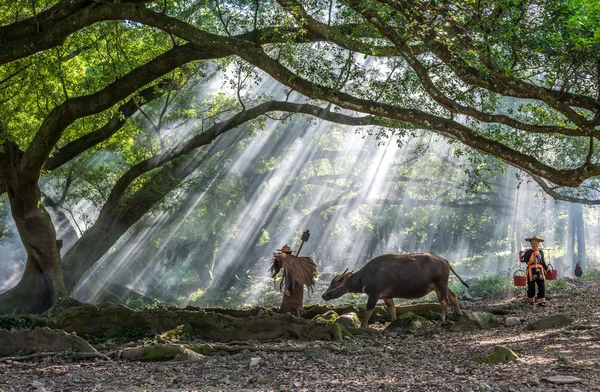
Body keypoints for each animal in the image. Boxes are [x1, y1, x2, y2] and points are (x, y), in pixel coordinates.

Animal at [322, 253, 472, 326]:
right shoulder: (387, 297)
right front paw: (393, 323)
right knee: (453, 296)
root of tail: (445, 261)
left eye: (334, 283)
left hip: (440, 285)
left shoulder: (375, 294)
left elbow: (369, 309)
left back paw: (442, 319)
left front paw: (363, 325)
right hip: (441, 285)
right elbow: (392, 309)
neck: (366, 276)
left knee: (443, 301)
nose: (324, 295)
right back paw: (459, 314)